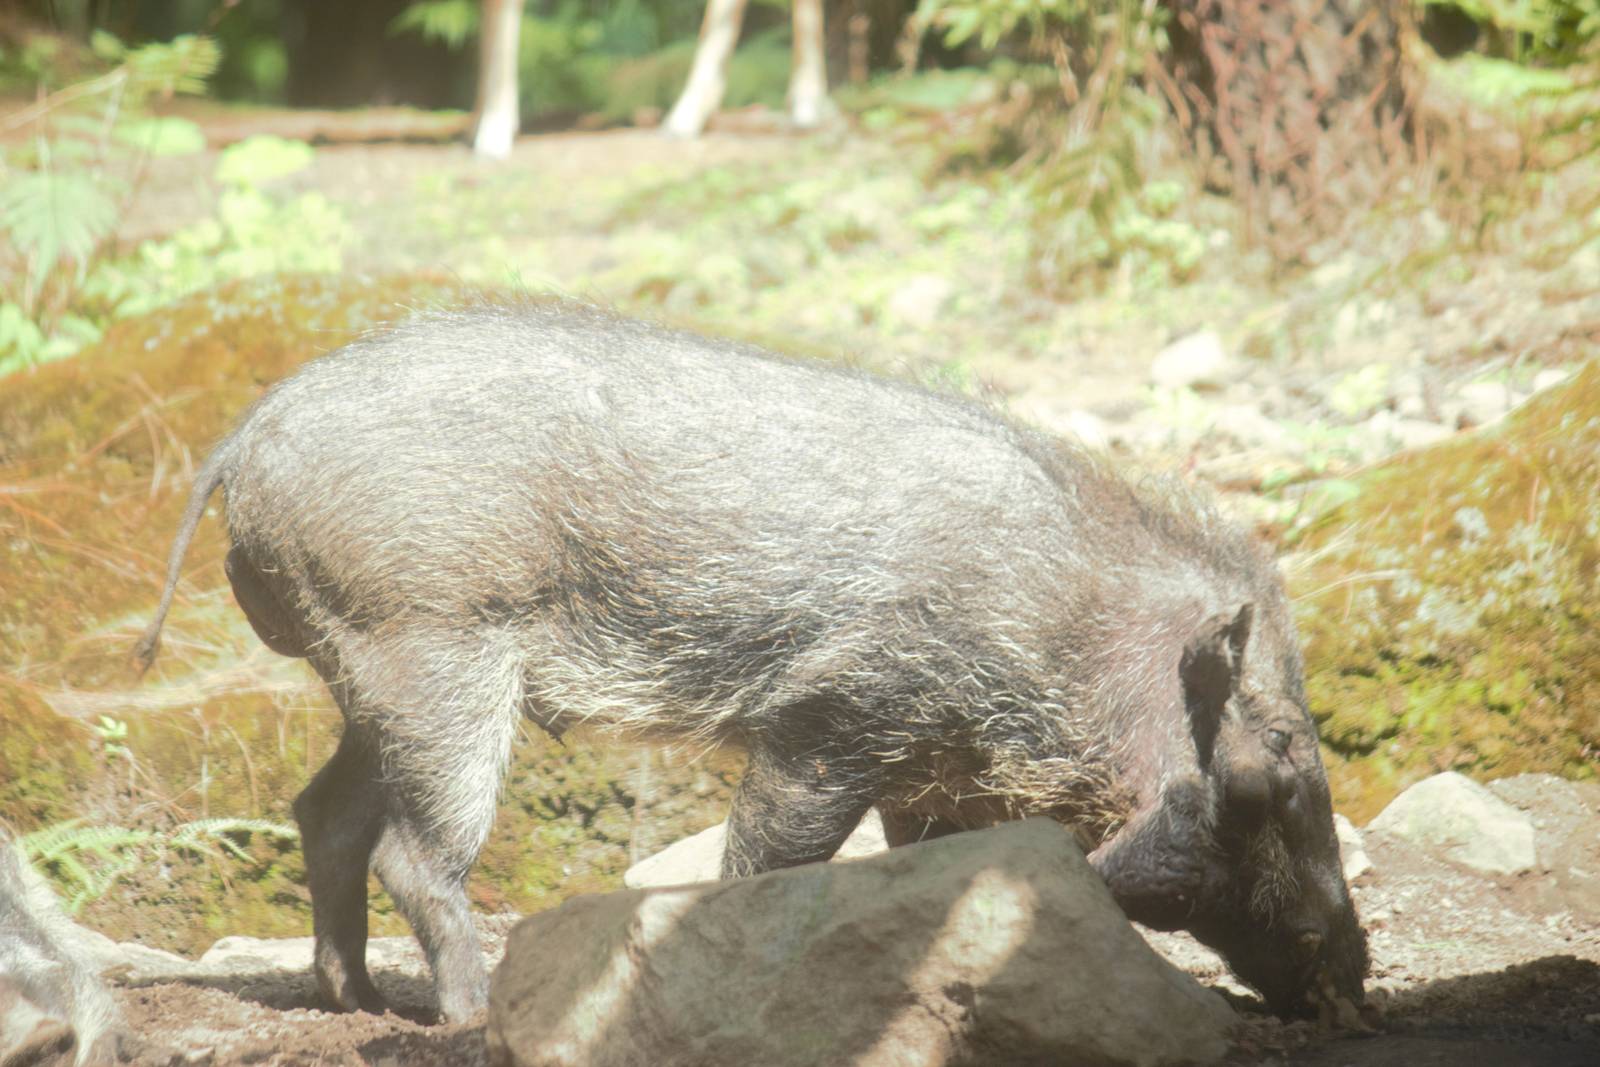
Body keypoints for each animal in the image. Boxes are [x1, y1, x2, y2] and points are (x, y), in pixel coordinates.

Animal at [135, 302, 1366, 1022]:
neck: (1068, 633)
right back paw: (471, 1018)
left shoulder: (934, 775)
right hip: (435, 653)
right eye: (1282, 751)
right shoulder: (836, 715)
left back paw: (355, 1004)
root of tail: (245, 441)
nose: (1355, 977)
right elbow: (768, 856)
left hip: (370, 672)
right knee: (408, 851)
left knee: (324, 812)